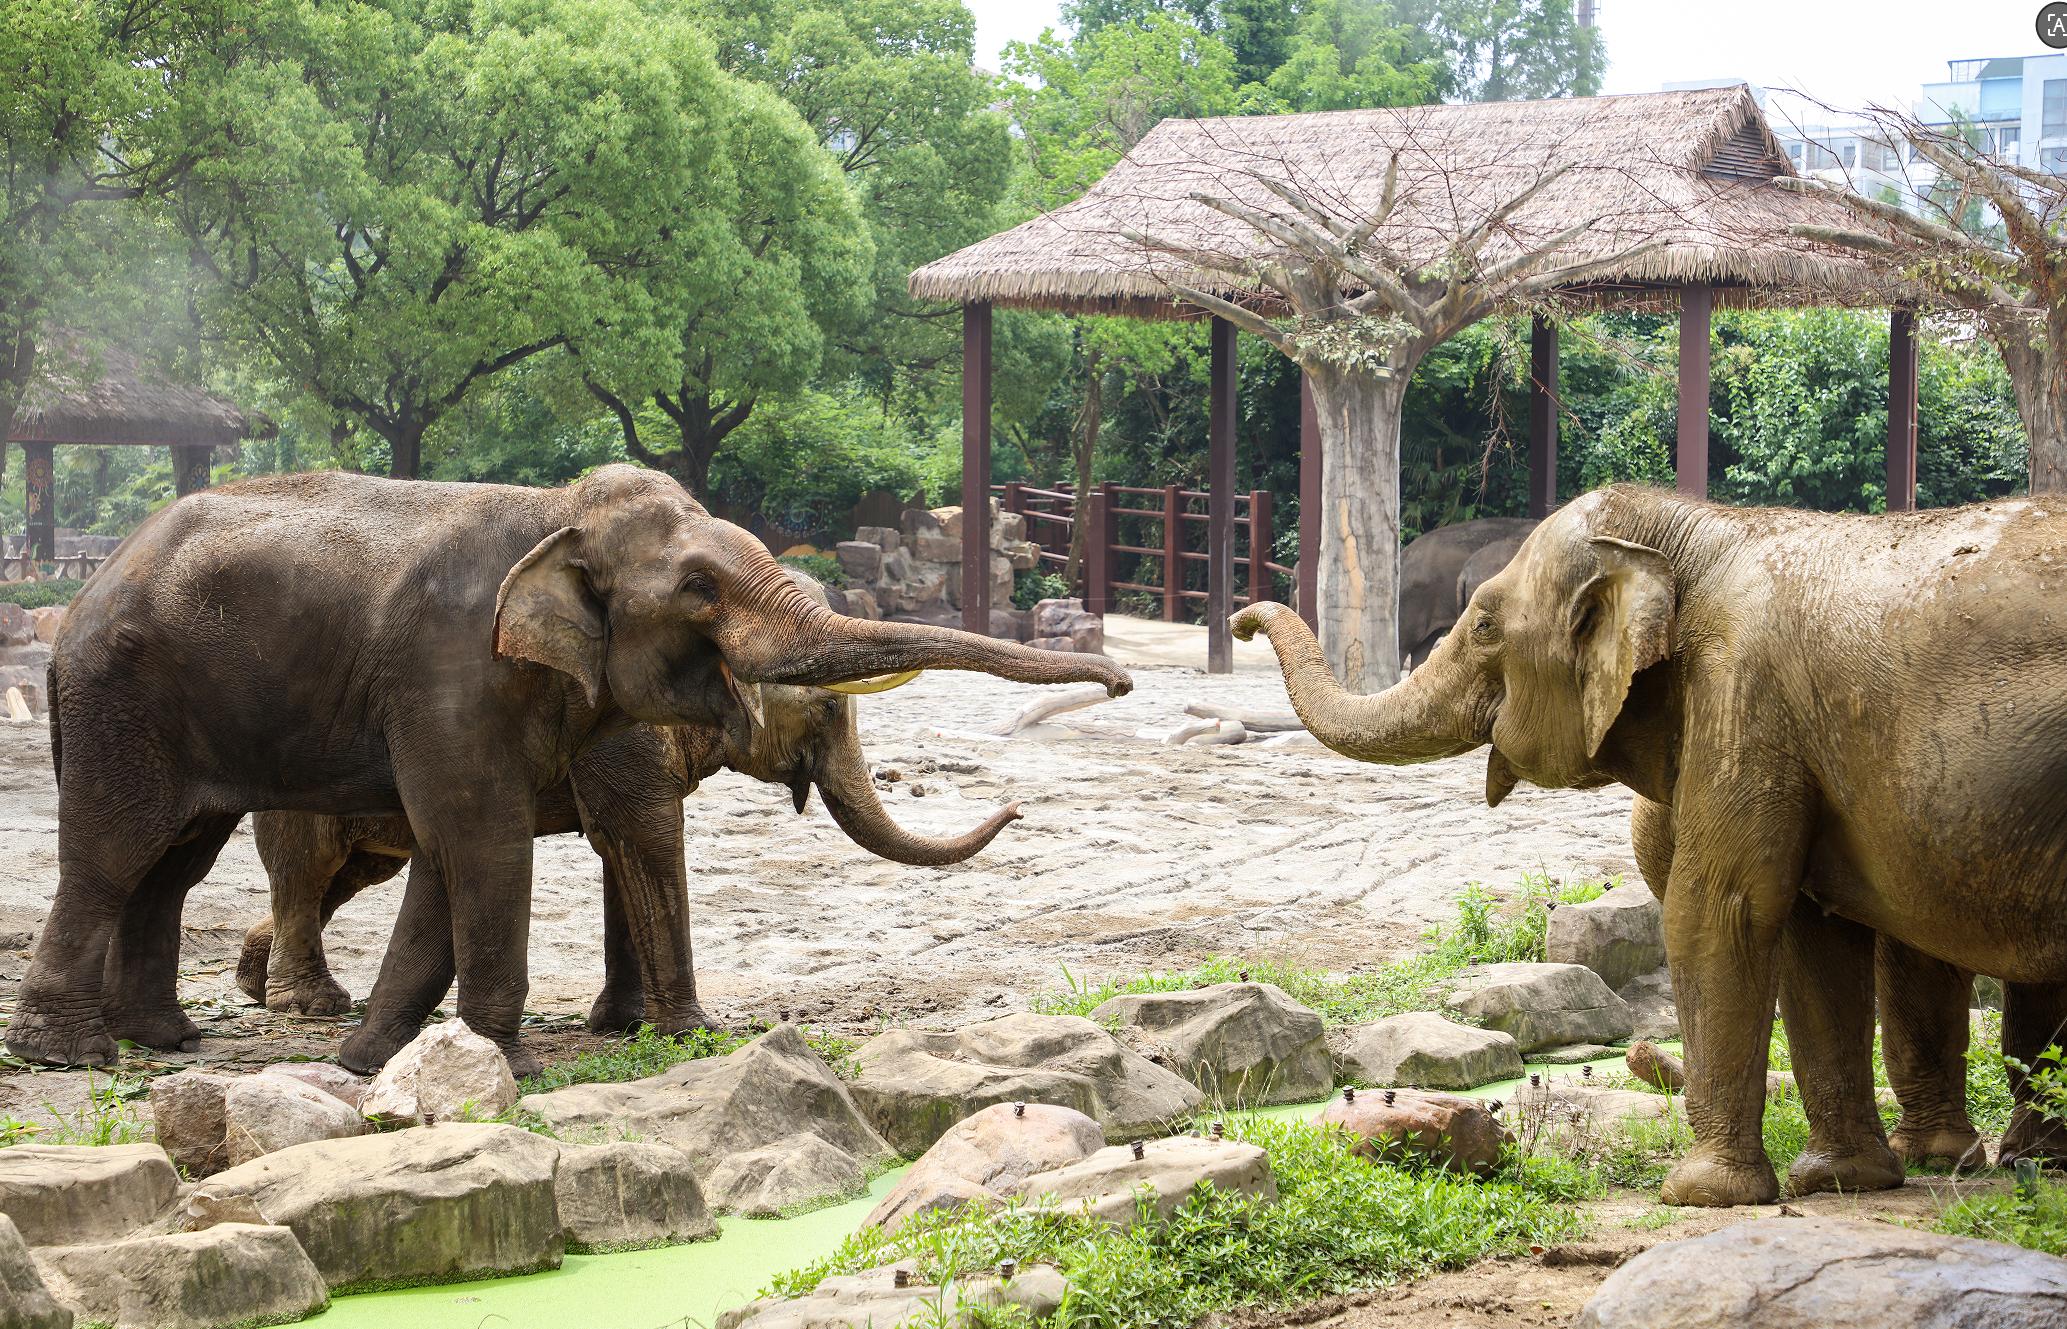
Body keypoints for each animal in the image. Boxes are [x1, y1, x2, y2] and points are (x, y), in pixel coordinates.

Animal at [235, 572, 1017, 1049]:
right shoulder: (623, 737)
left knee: (354, 872)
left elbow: (622, 853)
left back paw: (254, 979)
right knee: (309, 868)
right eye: (827, 708)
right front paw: (693, 1033)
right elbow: (644, 835)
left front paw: (622, 1023)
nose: (1015, 806)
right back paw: (307, 1004)